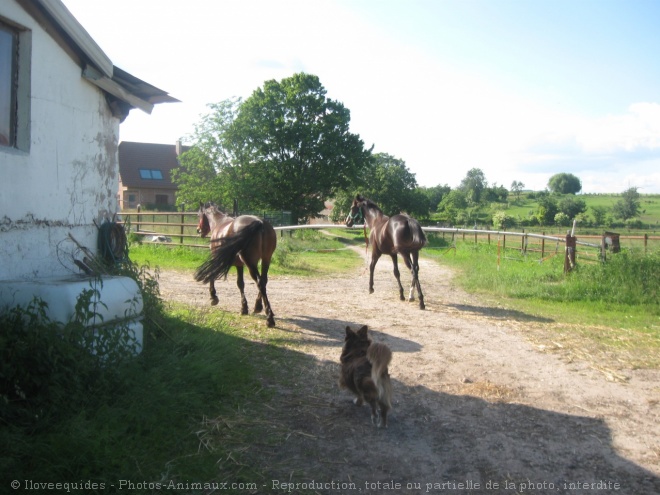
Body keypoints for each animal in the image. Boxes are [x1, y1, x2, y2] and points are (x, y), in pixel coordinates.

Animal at [196, 202, 278, 330]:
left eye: (199, 214)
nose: (198, 230)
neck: (219, 222)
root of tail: (260, 222)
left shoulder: (217, 258)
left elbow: (212, 275)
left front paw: (213, 297)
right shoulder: (239, 265)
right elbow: (240, 284)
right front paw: (244, 308)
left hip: (251, 263)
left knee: (260, 282)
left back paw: (269, 319)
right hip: (266, 259)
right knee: (264, 281)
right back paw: (259, 307)